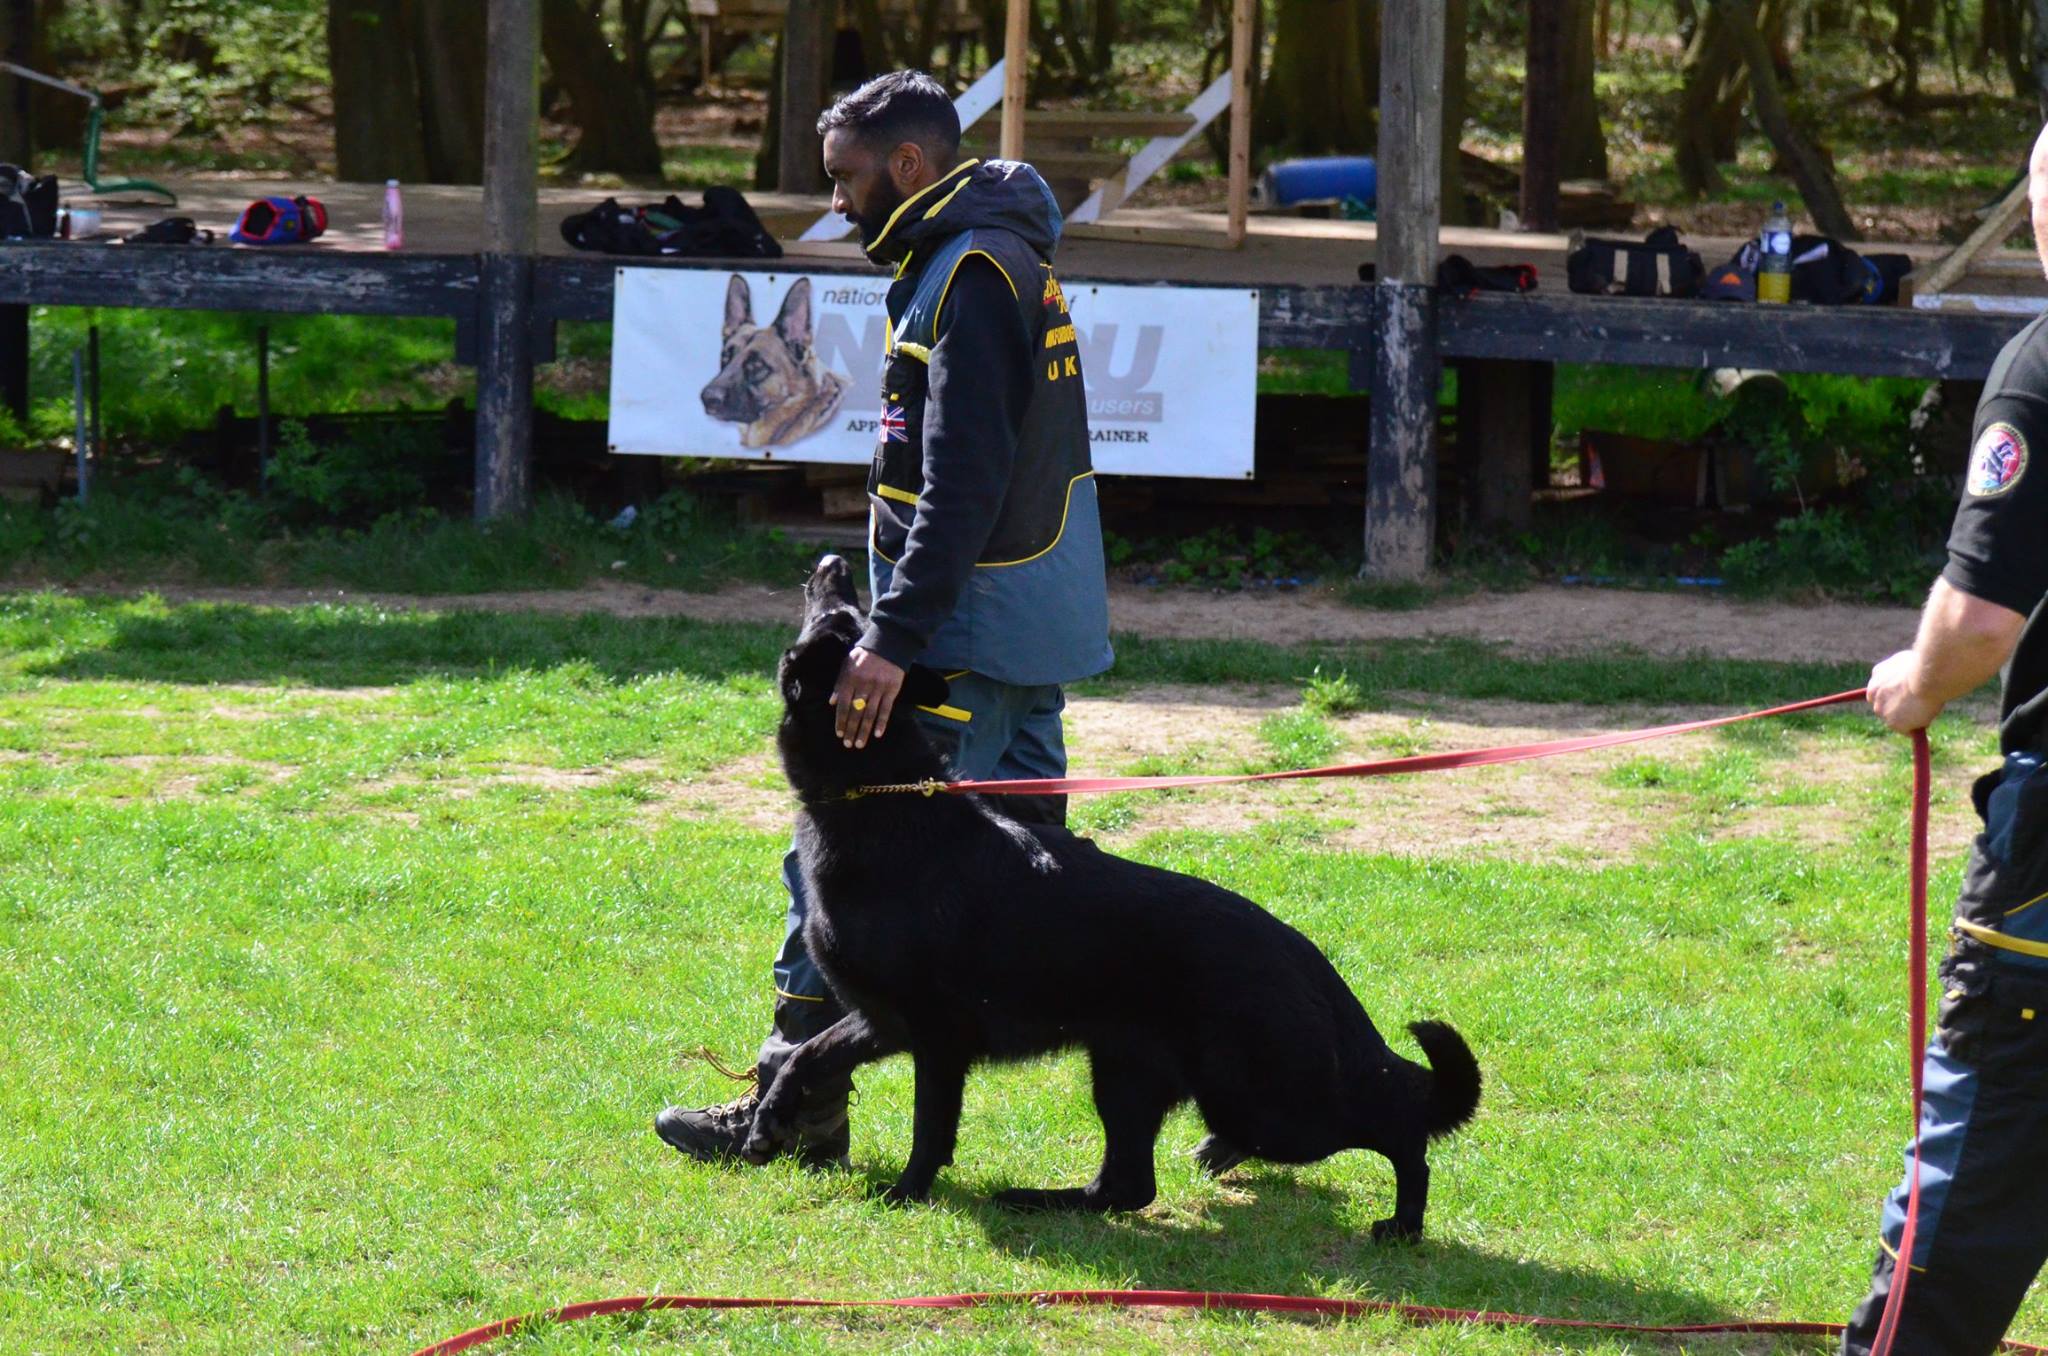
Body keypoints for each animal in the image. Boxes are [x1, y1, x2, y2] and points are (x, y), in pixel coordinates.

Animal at [745, 557, 1482, 1245]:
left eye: (841, 621)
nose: (836, 563)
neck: (876, 794)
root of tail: (1309, 962)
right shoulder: (881, 1019)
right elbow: (809, 1054)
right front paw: (767, 1119)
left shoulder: (935, 1037)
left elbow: (929, 1126)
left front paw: (907, 1192)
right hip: (1131, 1076)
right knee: (1128, 1186)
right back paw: (1041, 1198)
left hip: (1260, 1103)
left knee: (1398, 1126)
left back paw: (1404, 1223)